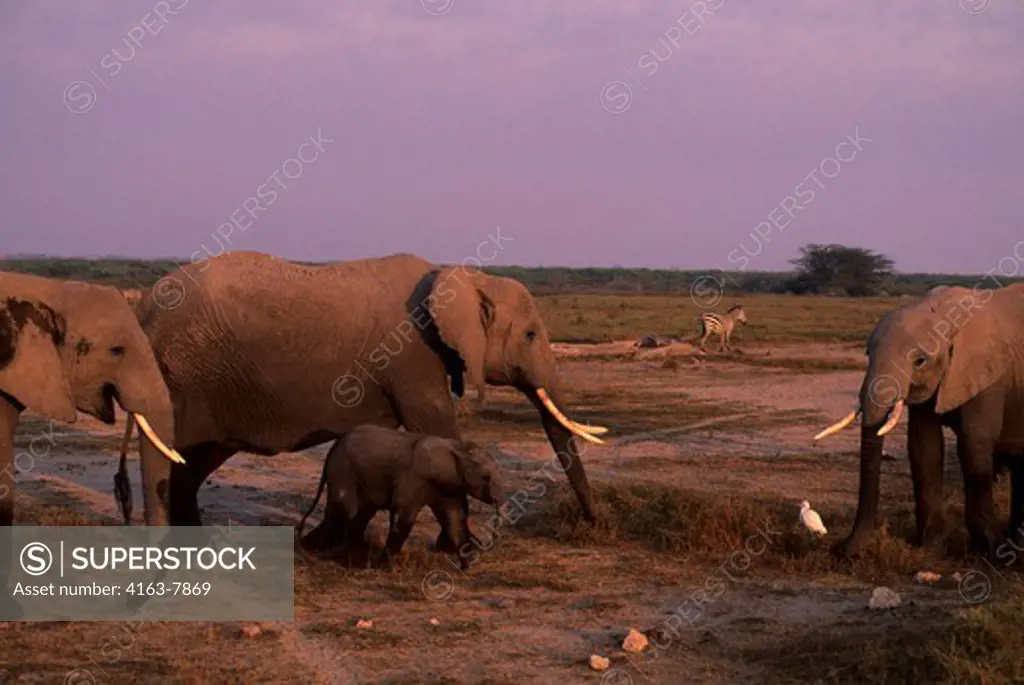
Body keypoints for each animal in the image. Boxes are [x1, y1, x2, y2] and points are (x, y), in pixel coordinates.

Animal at [118, 250, 602, 524]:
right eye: (532, 336)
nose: (595, 522)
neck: (458, 277)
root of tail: (143, 308)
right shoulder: (412, 356)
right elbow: (438, 429)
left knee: (193, 463)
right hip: (182, 376)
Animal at [296, 427, 503, 565]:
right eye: (486, 477)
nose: (487, 544)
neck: (457, 448)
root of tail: (333, 447)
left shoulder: (449, 485)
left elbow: (452, 520)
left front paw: (467, 566)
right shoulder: (415, 477)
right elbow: (404, 516)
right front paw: (385, 566)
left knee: (359, 514)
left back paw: (352, 559)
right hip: (343, 471)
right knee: (344, 511)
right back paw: (308, 552)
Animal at [815, 282, 1024, 557]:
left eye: (920, 361)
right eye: (868, 353)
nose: (842, 550)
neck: (944, 313)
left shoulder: (988, 378)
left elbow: (973, 444)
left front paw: (991, 550)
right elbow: (924, 446)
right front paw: (930, 548)